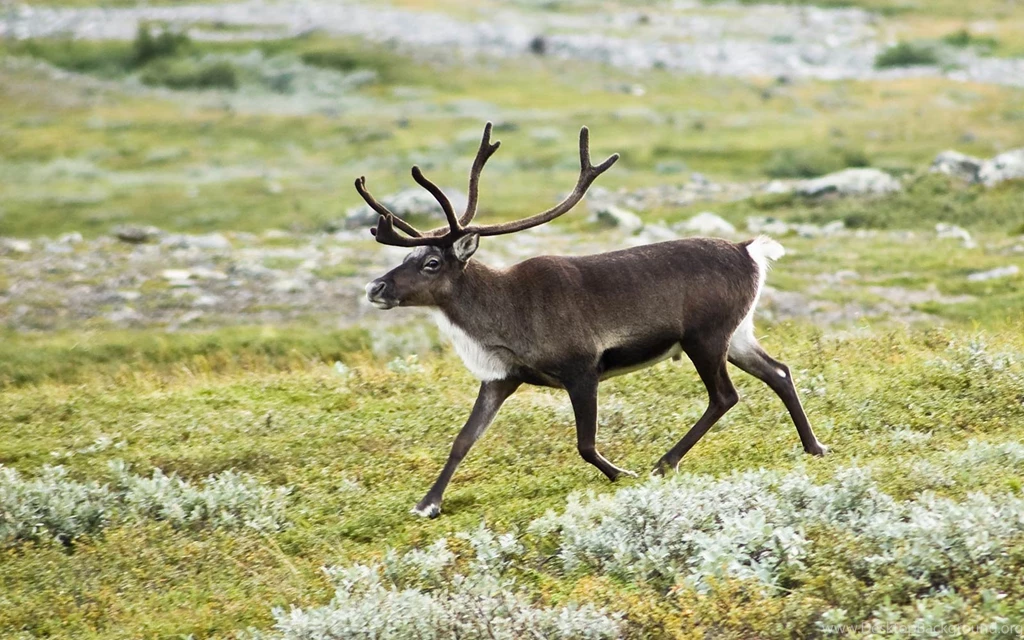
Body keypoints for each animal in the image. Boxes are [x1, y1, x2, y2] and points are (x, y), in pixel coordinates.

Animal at [359, 123, 828, 518]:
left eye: (432, 263)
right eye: (409, 257)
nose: (375, 287)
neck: (502, 315)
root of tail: (750, 251)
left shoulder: (582, 368)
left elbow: (585, 443)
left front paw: (623, 474)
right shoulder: (502, 378)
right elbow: (462, 440)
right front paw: (427, 503)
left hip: (705, 337)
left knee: (725, 396)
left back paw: (664, 462)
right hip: (737, 335)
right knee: (779, 372)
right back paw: (814, 446)